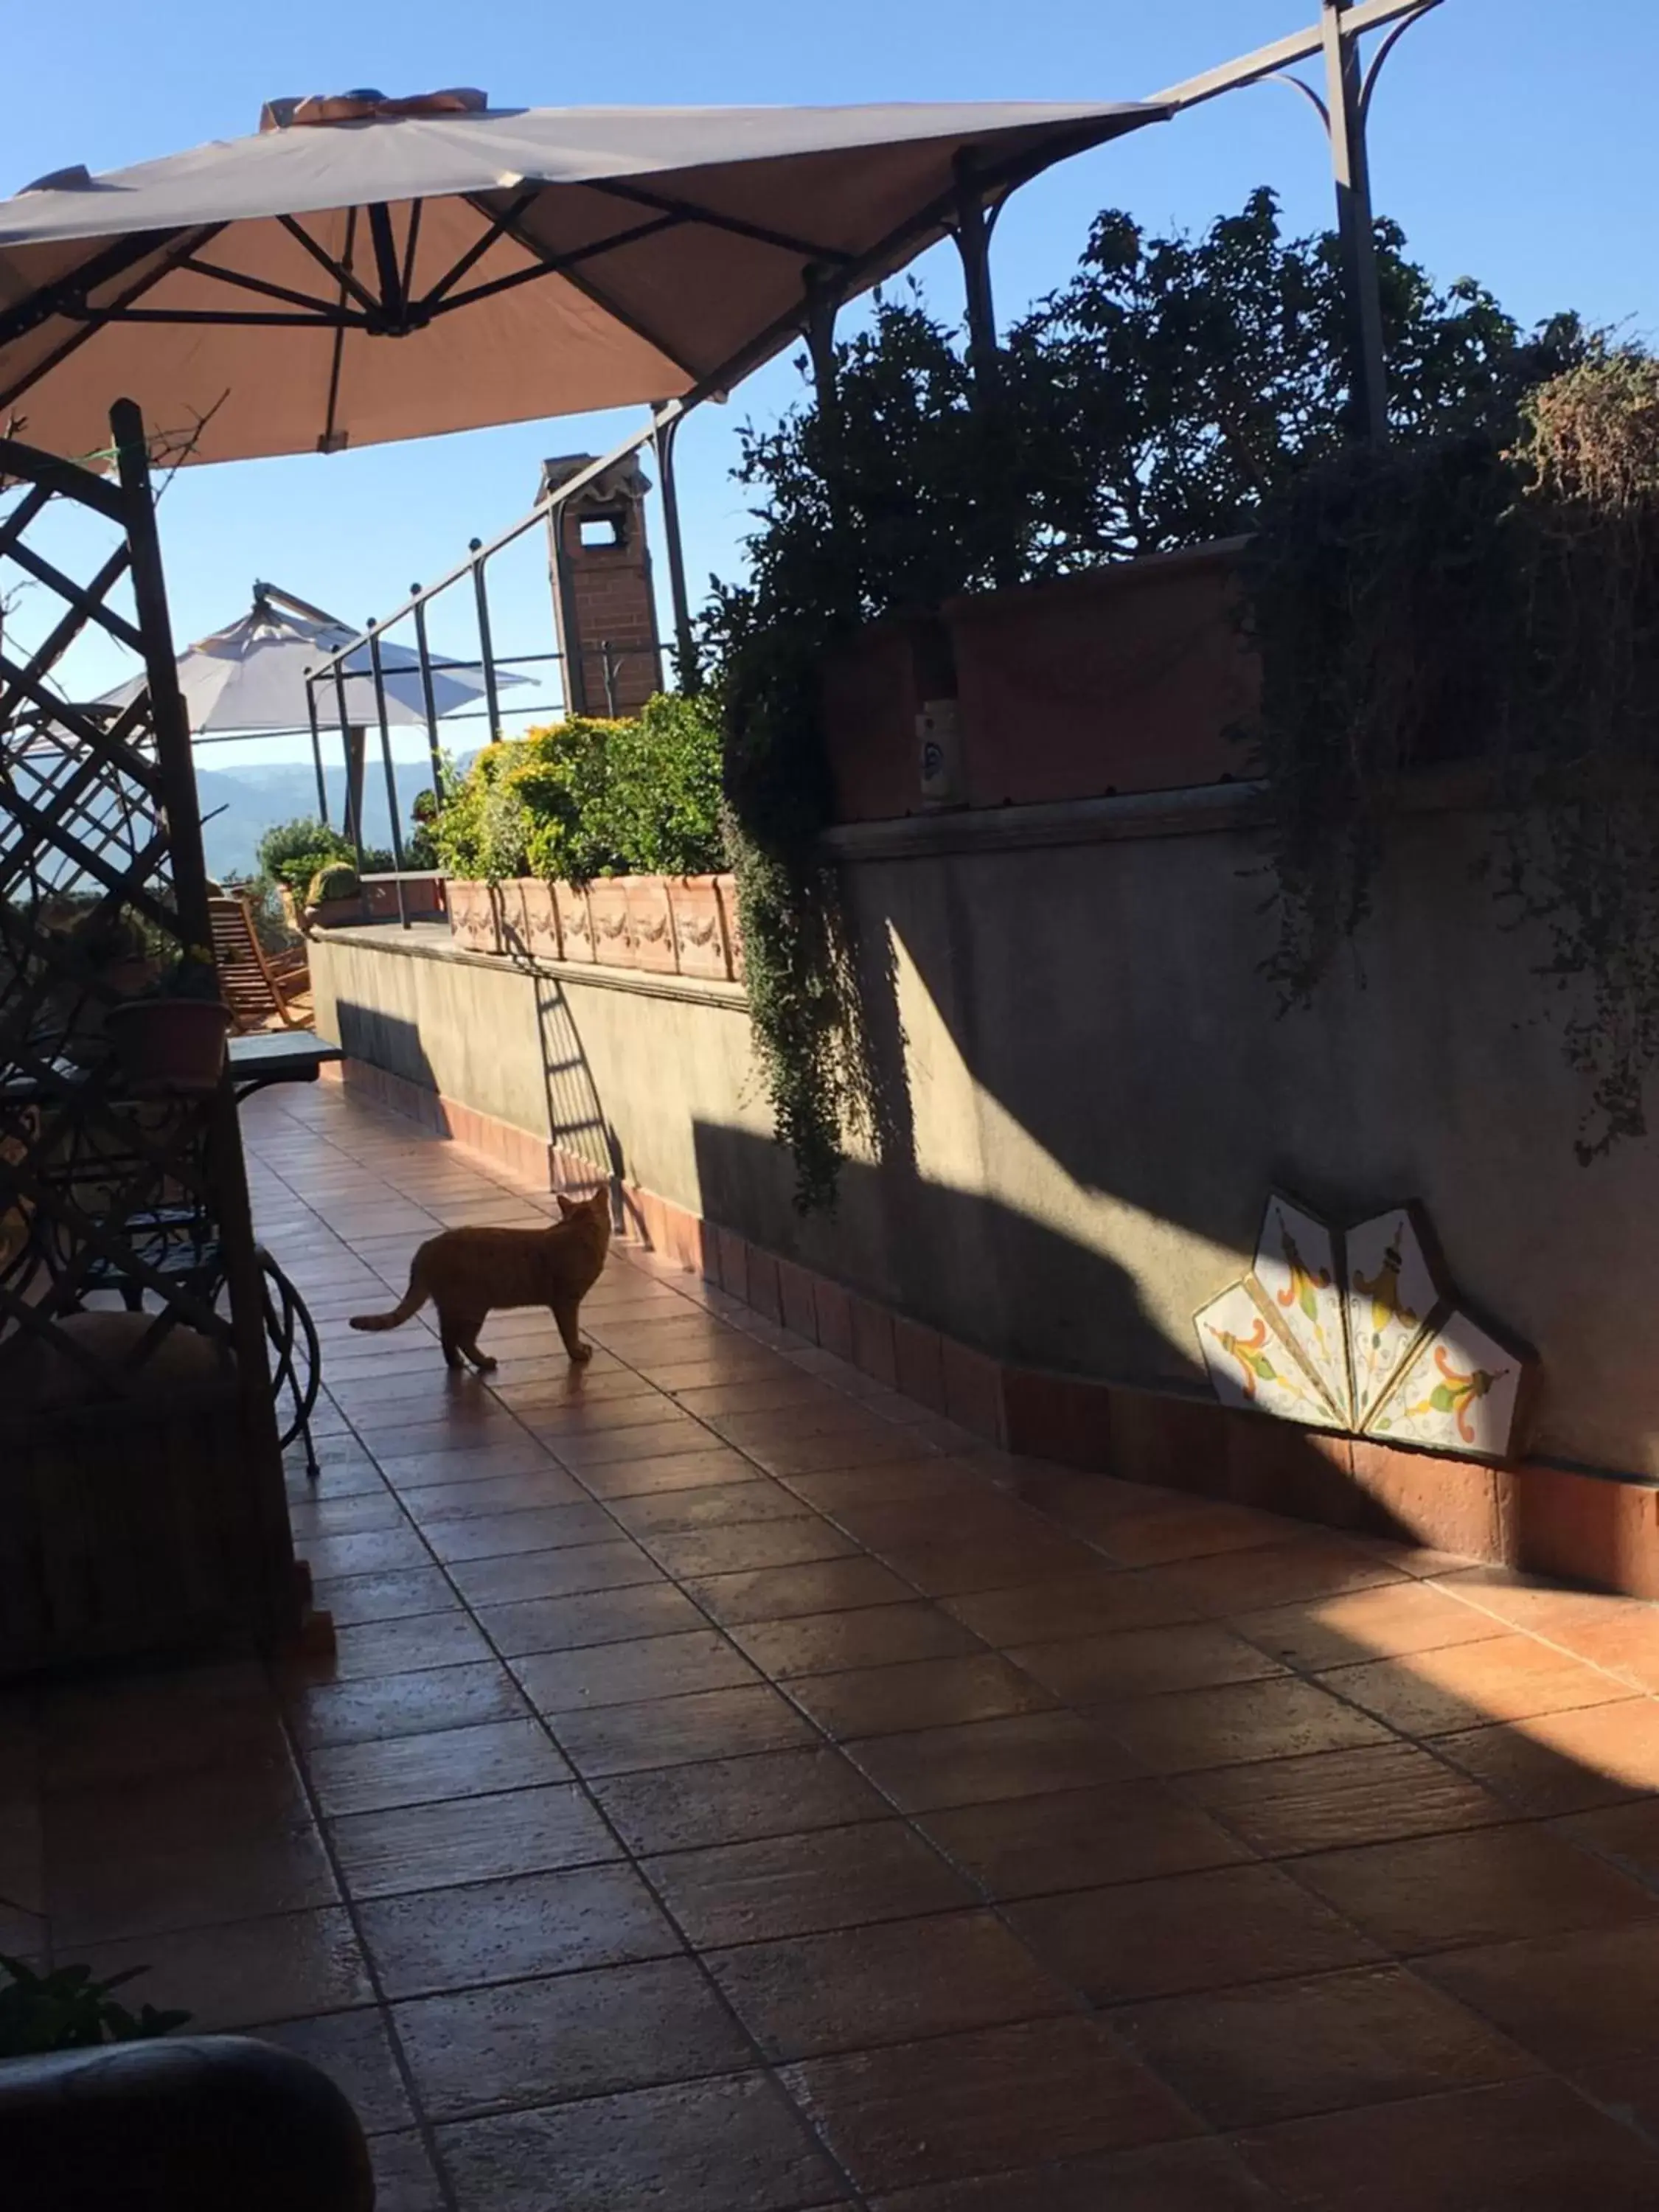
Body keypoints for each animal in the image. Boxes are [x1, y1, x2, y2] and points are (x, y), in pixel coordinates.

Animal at [354, 1186, 615, 1371]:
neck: (581, 1230)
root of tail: (426, 1247)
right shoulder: (565, 1302)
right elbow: (570, 1332)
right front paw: (577, 1352)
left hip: (450, 1306)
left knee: (447, 1338)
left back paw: (457, 1363)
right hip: (472, 1307)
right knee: (463, 1339)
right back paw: (482, 1362)